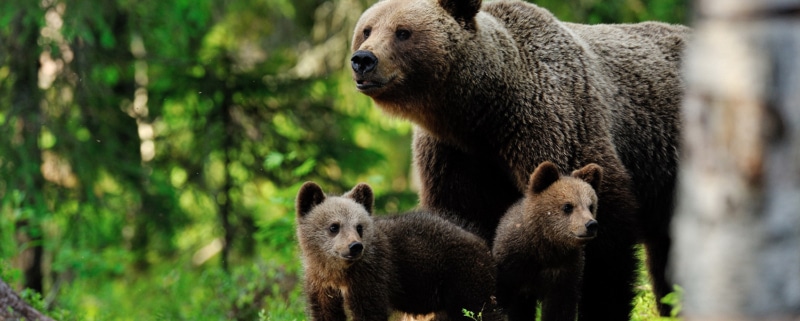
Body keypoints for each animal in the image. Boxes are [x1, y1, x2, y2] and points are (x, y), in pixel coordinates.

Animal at [348, 0, 688, 316]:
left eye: (403, 31)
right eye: (367, 29)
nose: (363, 59)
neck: (481, 115)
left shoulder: (553, 126)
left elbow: (605, 243)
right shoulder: (455, 158)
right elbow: (462, 225)